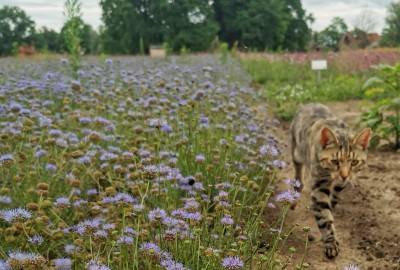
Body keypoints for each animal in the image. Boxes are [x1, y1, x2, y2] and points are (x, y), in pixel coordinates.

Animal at [290, 102, 370, 258]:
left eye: (354, 162)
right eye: (334, 161)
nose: (344, 175)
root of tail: (309, 103)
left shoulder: (341, 184)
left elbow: (333, 201)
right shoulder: (319, 187)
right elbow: (325, 218)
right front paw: (330, 242)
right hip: (297, 150)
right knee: (298, 168)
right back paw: (296, 188)